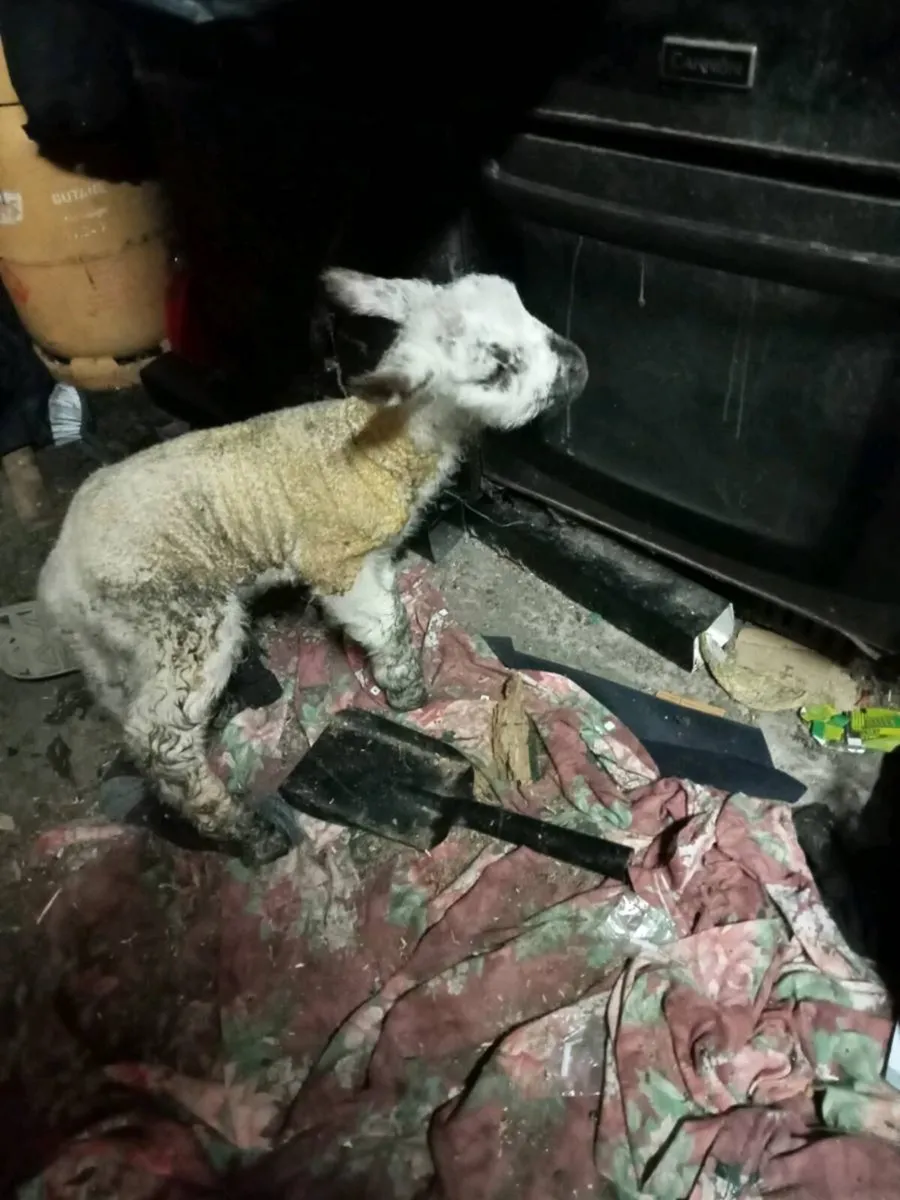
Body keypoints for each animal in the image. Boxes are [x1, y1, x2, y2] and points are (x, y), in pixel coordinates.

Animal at [38, 268, 589, 865]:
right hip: (181, 619)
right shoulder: (336, 561)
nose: (580, 364)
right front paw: (407, 693)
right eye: (496, 368)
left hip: (111, 644)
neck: (385, 447)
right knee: (160, 737)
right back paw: (250, 833)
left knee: (124, 707)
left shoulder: (375, 557)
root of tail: (58, 577)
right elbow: (387, 623)